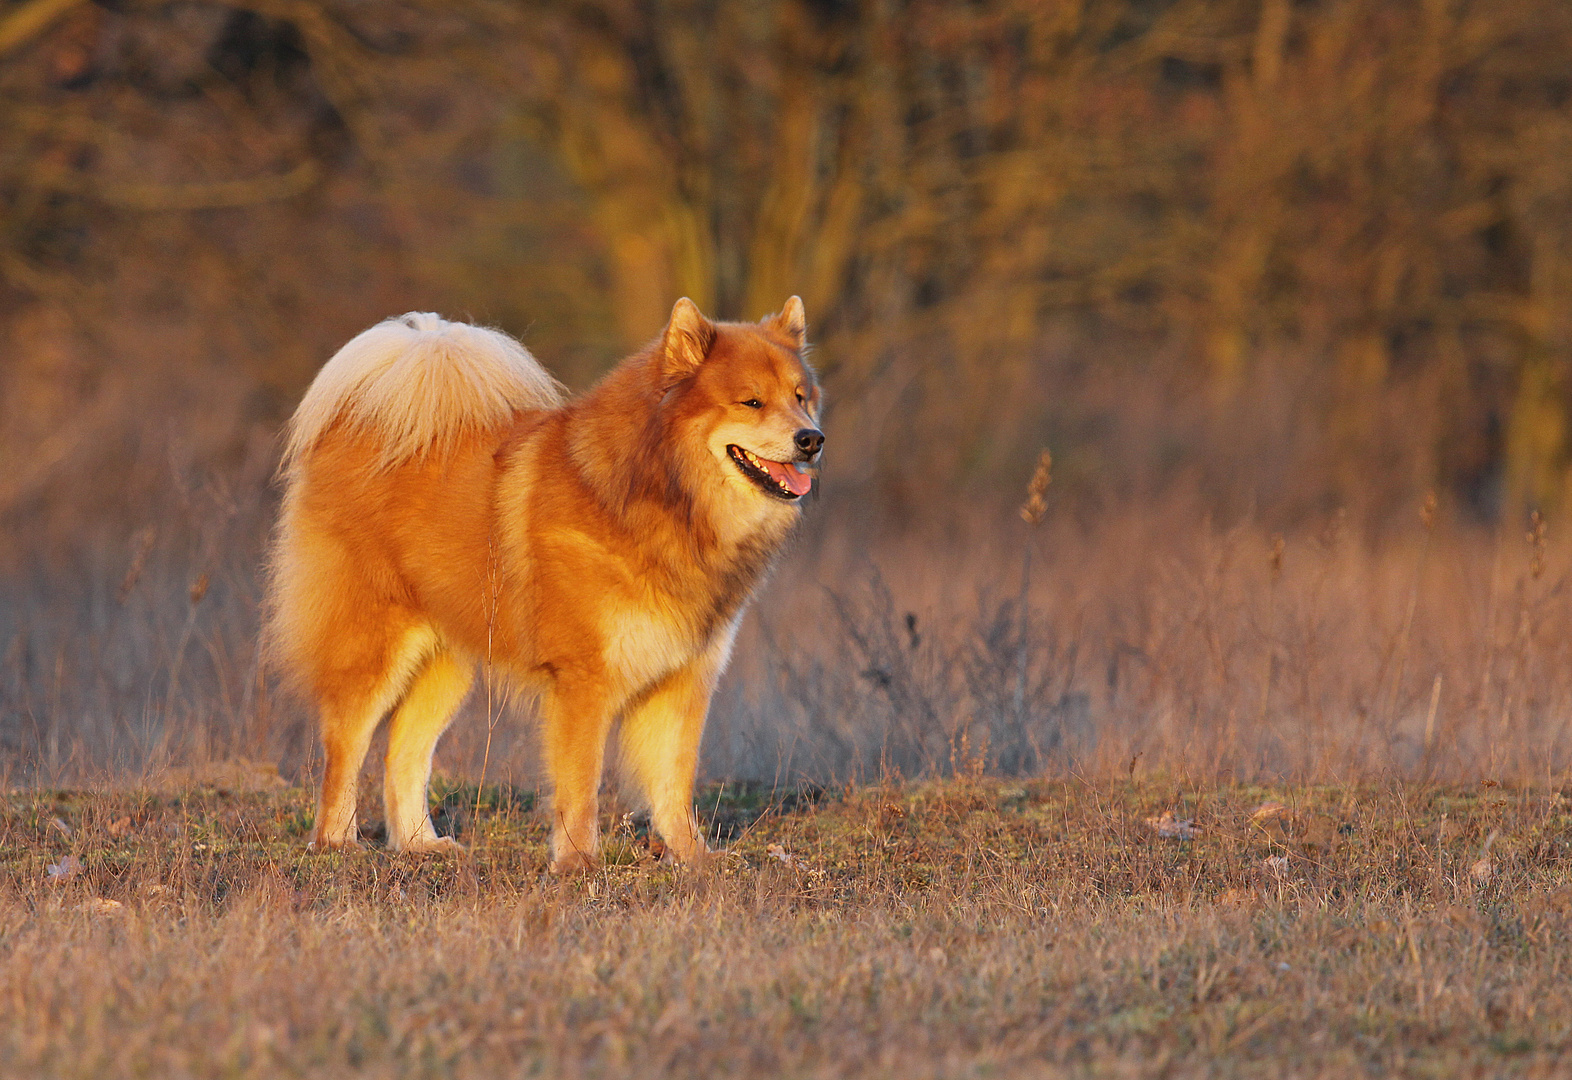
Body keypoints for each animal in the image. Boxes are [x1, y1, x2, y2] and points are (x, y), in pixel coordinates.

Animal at [267, 300, 823, 874]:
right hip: (375, 649)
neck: (663, 500)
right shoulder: (583, 681)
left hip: (446, 661)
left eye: (801, 398)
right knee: (345, 747)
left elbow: (674, 783)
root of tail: (357, 427)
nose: (812, 439)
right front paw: (578, 862)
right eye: (752, 402)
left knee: (404, 752)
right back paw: (337, 844)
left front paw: (694, 859)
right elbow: (581, 784)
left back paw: (421, 844)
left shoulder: (685, 678)